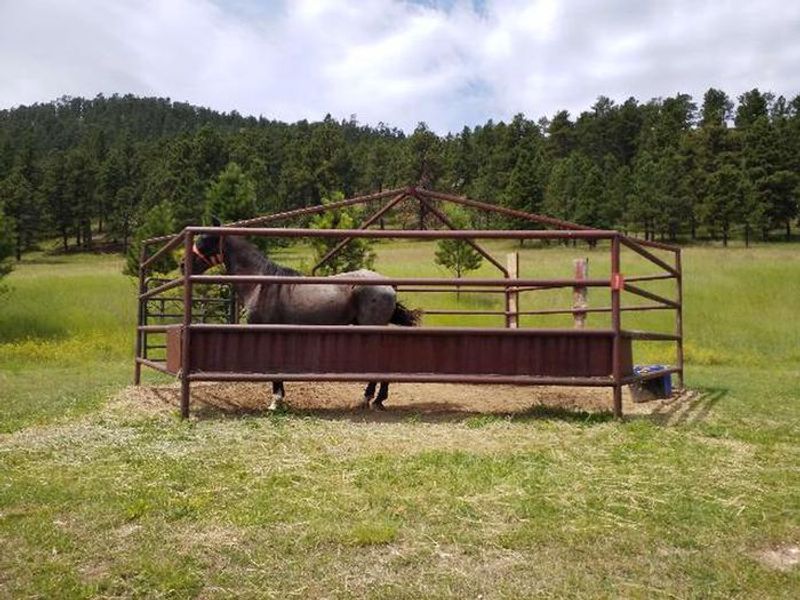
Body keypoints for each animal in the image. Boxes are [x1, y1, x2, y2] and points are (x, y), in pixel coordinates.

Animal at [182, 222, 420, 410]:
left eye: (205, 239)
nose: (183, 265)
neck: (261, 284)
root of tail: (388, 284)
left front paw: (275, 401)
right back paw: (376, 399)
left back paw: (370, 399)